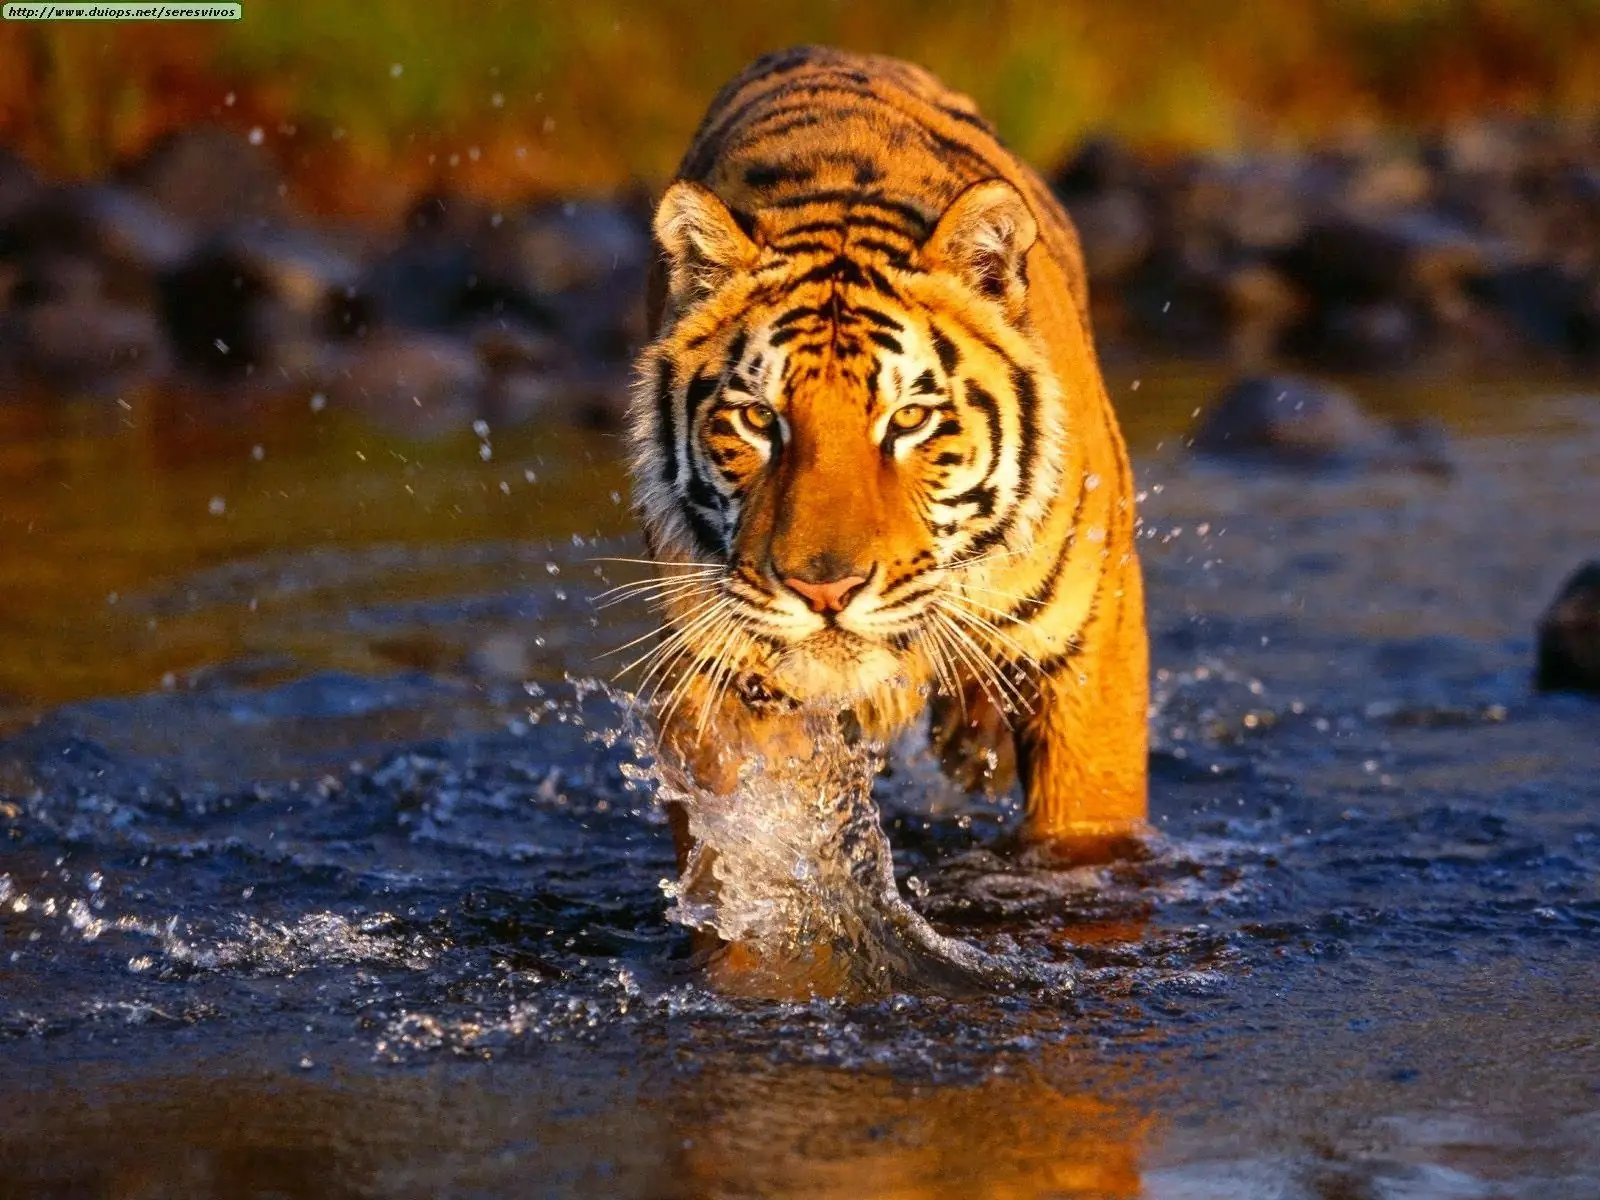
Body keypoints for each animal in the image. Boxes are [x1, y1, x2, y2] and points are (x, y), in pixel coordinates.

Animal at [623, 45, 1148, 878]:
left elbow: (1085, 829)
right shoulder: (720, 675)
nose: (824, 591)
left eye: (908, 420)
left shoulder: (1090, 650)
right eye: (758, 419)